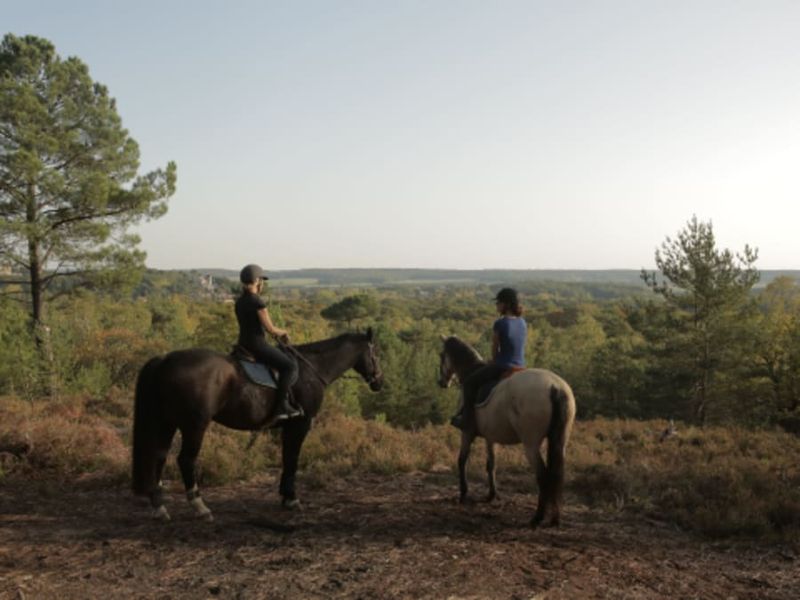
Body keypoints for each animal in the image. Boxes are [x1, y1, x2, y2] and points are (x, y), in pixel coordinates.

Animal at [132, 328, 383, 521]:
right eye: (374, 353)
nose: (379, 382)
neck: (312, 368)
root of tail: (165, 361)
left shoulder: (288, 427)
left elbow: (286, 458)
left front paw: (285, 496)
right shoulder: (300, 424)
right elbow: (293, 459)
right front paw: (292, 499)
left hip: (167, 422)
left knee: (159, 456)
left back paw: (160, 507)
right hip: (194, 425)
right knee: (185, 460)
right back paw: (200, 507)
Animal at [437, 335, 576, 527]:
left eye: (441, 355)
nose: (441, 383)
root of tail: (555, 387)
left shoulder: (467, 433)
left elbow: (462, 460)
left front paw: (463, 494)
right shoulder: (490, 436)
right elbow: (491, 464)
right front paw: (491, 495)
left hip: (531, 444)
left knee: (543, 475)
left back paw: (537, 517)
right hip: (560, 441)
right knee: (556, 474)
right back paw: (554, 517)